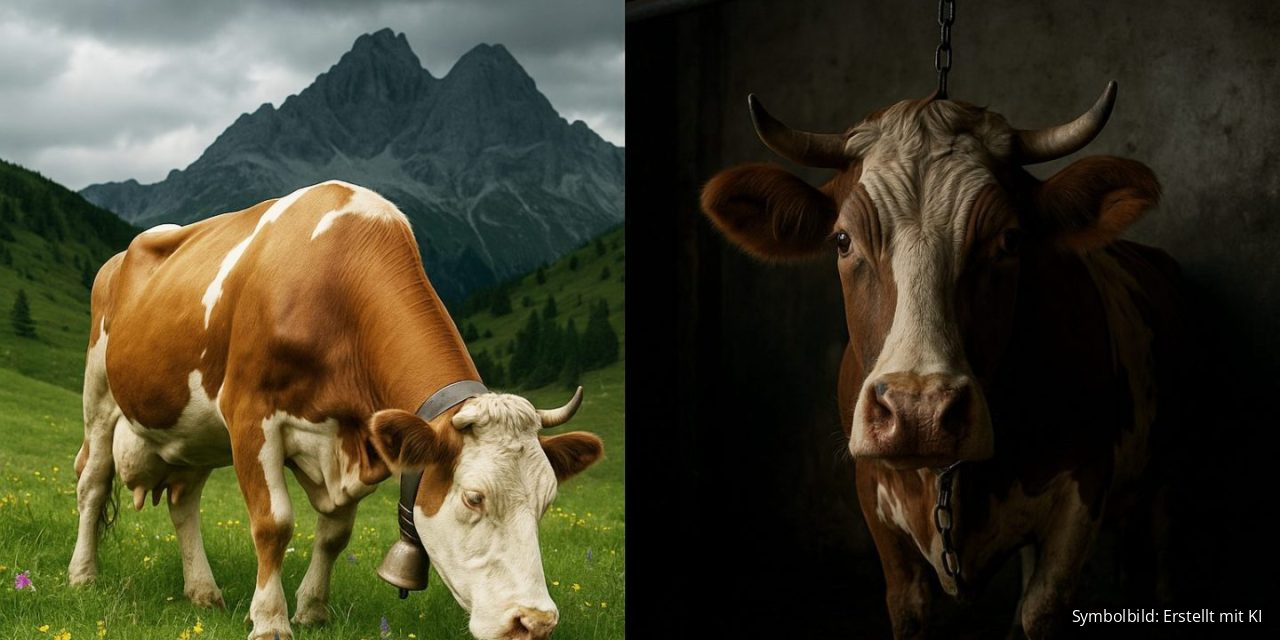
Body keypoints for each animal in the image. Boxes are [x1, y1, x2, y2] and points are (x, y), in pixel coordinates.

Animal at [67, 180, 605, 640]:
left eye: (547, 501)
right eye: (474, 498)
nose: (534, 622)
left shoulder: (359, 436)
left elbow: (335, 534)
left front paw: (312, 610)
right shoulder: (250, 416)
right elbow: (274, 524)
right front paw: (270, 620)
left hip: (194, 433)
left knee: (184, 503)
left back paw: (203, 592)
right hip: (100, 395)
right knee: (92, 482)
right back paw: (83, 574)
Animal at [700, 83, 1186, 638]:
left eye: (1010, 240)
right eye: (843, 240)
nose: (919, 413)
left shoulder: (1084, 490)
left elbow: (1041, 609)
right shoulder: (874, 497)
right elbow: (910, 606)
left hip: (1166, 476)